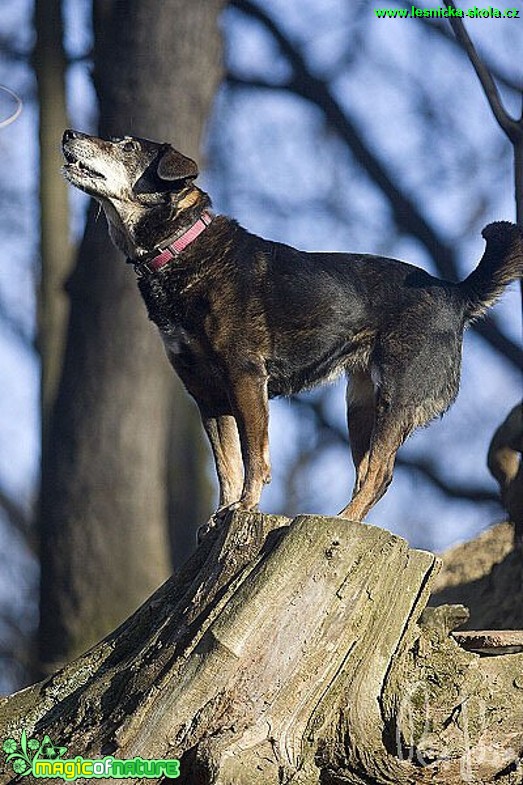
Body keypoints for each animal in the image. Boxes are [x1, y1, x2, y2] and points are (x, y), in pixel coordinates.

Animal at [62, 130, 523, 528]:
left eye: (126, 145)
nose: (68, 134)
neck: (180, 249)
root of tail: (456, 292)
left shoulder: (245, 376)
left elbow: (253, 455)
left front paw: (245, 507)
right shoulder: (205, 392)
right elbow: (226, 464)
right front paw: (220, 515)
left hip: (396, 396)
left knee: (380, 474)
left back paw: (341, 521)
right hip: (359, 406)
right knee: (367, 472)